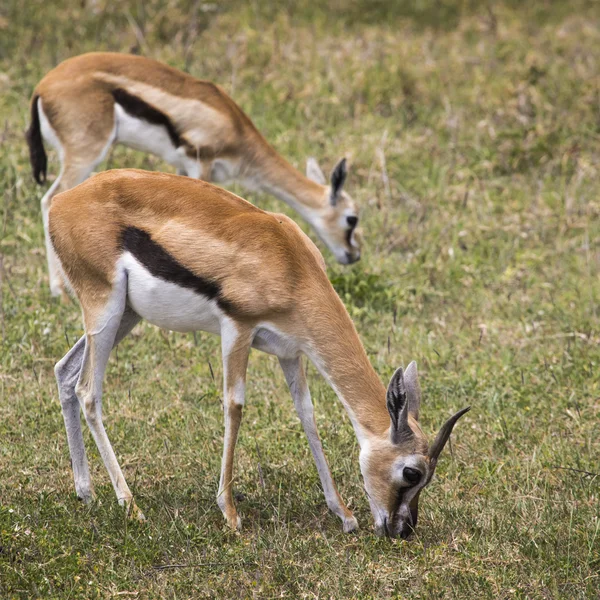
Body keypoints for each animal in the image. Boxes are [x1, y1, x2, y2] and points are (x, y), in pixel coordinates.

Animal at [25, 52, 360, 298]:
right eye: (351, 219)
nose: (353, 255)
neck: (235, 129)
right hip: (87, 154)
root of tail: (42, 88)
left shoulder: (181, 169)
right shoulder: (202, 163)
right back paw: (60, 289)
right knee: (50, 200)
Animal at [49, 170, 468, 540]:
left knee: (65, 371)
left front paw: (344, 514)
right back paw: (131, 506)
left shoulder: (291, 352)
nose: (403, 530)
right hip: (105, 308)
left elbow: (307, 414)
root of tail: (61, 201)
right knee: (88, 392)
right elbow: (235, 406)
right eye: (412, 472)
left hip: (124, 315)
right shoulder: (237, 328)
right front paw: (231, 514)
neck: (291, 264)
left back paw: (86, 492)